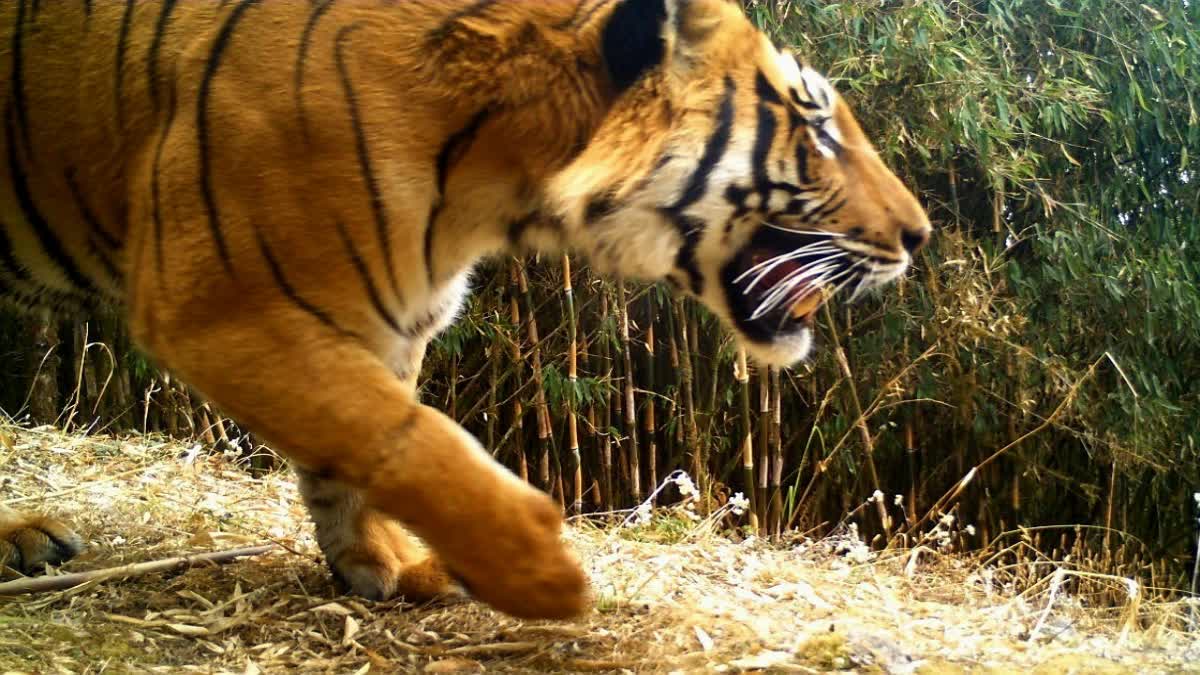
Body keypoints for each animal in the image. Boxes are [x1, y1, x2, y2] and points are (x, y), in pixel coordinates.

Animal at [0, 0, 930, 619]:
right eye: (817, 129)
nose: (920, 234)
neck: (498, 184)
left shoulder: (383, 320)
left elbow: (360, 453)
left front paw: (384, 565)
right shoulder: (217, 302)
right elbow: (405, 435)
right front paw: (539, 571)